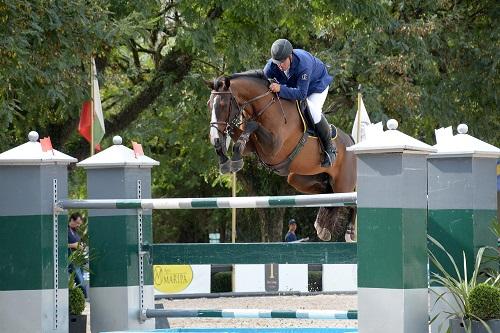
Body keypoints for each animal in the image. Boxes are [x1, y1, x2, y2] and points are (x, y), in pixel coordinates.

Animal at [208, 70, 360, 241]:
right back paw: (322, 226)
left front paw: (232, 159)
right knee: (329, 193)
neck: (265, 107)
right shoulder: (251, 146)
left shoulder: (273, 148)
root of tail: (351, 140)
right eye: (209, 105)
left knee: (351, 199)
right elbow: (241, 140)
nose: (214, 138)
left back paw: (349, 231)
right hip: (298, 178)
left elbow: (253, 125)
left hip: (343, 184)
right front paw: (225, 159)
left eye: (223, 105)